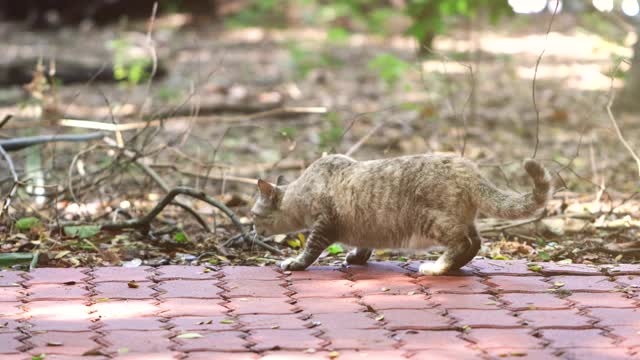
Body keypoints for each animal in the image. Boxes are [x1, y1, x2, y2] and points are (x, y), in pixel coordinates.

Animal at [250, 153, 552, 276]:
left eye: (252, 215)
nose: (251, 230)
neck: (302, 189)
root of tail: (467, 168)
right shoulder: (363, 227)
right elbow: (363, 246)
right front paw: (357, 257)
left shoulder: (323, 225)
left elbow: (310, 250)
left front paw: (295, 263)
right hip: (461, 220)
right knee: (475, 242)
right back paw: (453, 267)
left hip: (432, 221)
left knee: (463, 243)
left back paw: (438, 268)